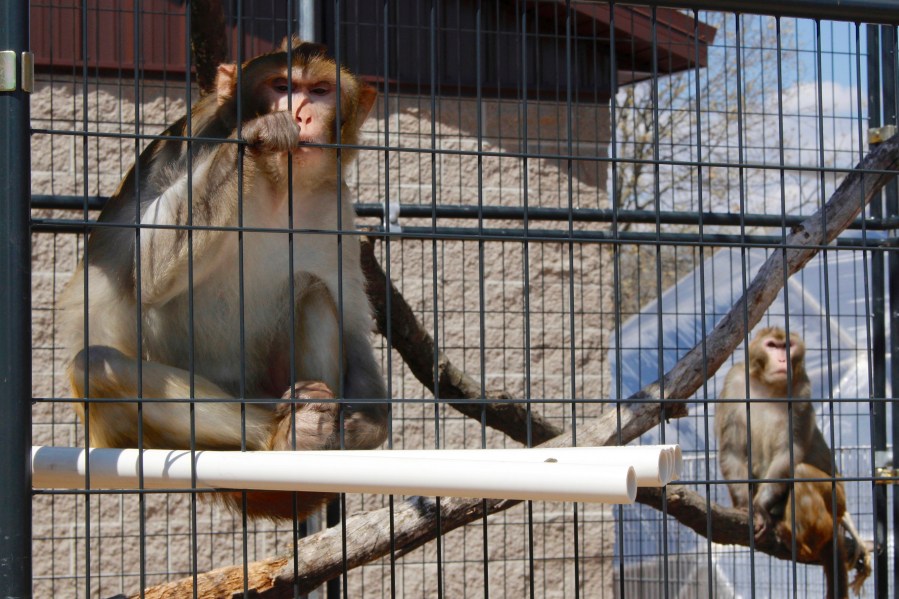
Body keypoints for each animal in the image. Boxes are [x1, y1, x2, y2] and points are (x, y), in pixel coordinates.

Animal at [58, 37, 388, 520]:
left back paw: (312, 436)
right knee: (96, 366)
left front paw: (366, 425)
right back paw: (283, 437)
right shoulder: (190, 142)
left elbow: (351, 324)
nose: (301, 115)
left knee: (314, 294)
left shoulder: (335, 207)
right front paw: (259, 135)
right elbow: (146, 271)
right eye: (282, 86)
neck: (279, 185)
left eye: (320, 91)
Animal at [712, 328, 868, 599]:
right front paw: (745, 506)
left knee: (802, 473)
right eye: (772, 345)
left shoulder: (801, 391)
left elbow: (789, 453)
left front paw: (760, 508)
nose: (783, 359)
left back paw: (802, 543)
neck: (768, 386)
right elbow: (733, 450)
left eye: (787, 346)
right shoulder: (734, 382)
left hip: (837, 501)